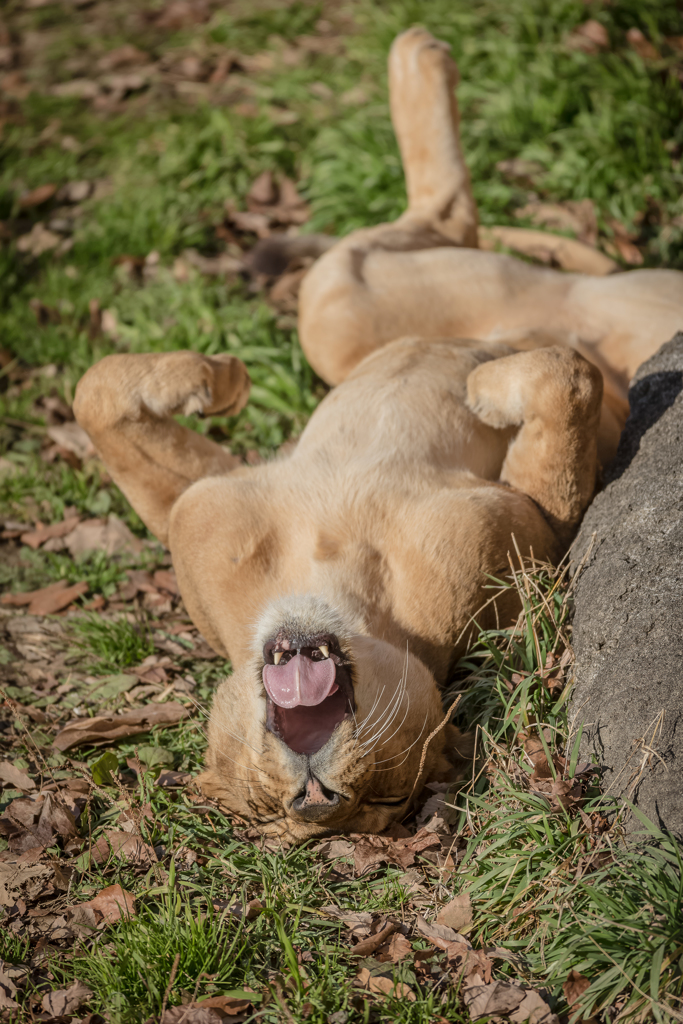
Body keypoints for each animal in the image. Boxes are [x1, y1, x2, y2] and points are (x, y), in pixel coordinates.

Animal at [73, 28, 683, 839]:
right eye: (383, 799)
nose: (315, 796)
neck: (327, 567)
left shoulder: (198, 509)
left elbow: (94, 396)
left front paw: (219, 379)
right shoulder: (534, 537)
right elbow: (568, 384)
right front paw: (495, 386)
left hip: (355, 316)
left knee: (398, 243)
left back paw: (415, 56)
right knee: (439, 229)